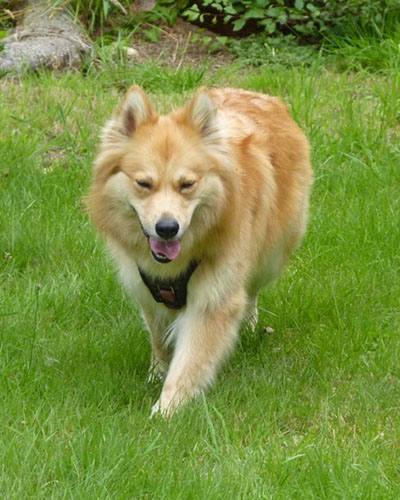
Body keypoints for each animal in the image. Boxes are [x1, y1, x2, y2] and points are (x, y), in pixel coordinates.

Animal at [88, 86, 313, 416]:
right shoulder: (147, 289)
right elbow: (159, 337)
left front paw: (166, 411)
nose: (167, 228)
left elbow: (190, 362)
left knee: (252, 291)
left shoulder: (213, 299)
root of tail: (261, 96)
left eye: (187, 185)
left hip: (270, 256)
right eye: (143, 183)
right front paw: (157, 372)